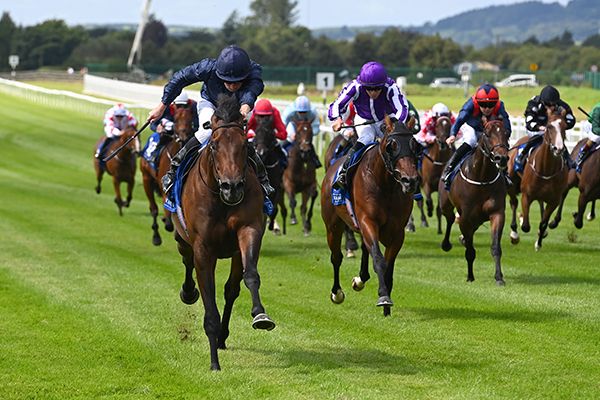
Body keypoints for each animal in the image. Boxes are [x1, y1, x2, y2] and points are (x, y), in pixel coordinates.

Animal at [139, 104, 193, 245]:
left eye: (190, 120)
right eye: (176, 119)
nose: (183, 136)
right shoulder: (164, 187)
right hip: (146, 178)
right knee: (153, 209)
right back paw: (156, 236)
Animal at [171, 94, 274, 372]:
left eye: (245, 145)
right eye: (215, 146)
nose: (232, 187)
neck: (220, 199)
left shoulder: (249, 230)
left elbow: (250, 276)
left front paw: (260, 314)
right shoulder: (203, 248)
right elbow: (209, 298)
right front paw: (214, 363)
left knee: (231, 289)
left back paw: (223, 336)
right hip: (182, 238)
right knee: (187, 262)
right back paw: (188, 293)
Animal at [324, 117, 418, 318]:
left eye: (415, 145)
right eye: (391, 145)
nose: (410, 180)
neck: (386, 185)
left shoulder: (397, 232)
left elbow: (388, 265)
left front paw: (387, 308)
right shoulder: (368, 221)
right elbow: (379, 260)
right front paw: (383, 297)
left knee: (364, 249)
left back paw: (360, 279)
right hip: (333, 226)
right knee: (336, 257)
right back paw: (337, 292)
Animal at [438, 117, 508, 286]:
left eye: (506, 133)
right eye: (487, 134)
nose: (501, 158)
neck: (482, 177)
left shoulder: (497, 213)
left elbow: (495, 247)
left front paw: (499, 277)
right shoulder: (465, 218)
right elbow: (470, 251)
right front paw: (470, 276)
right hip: (446, 205)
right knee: (450, 218)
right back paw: (446, 244)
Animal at [506, 108, 568, 248]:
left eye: (565, 126)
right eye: (549, 126)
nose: (558, 148)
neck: (546, 169)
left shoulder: (554, 201)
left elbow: (543, 223)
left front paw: (538, 243)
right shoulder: (526, 195)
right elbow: (525, 226)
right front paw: (521, 219)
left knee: (540, 203)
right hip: (512, 183)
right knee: (513, 203)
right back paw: (514, 233)